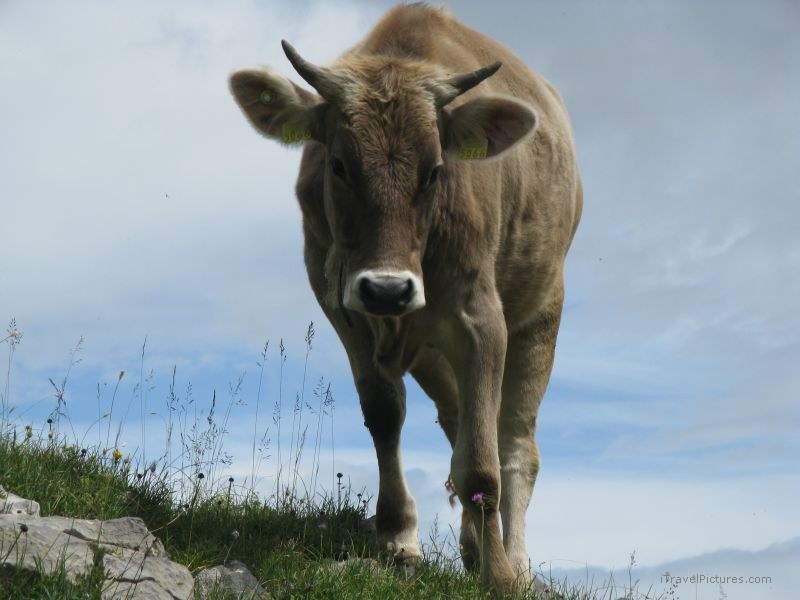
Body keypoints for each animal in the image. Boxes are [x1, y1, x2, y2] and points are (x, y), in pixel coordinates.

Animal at [229, 3, 582, 593]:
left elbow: (483, 460)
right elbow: (385, 414)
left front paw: (499, 578)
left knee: (515, 445)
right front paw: (397, 538)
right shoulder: (342, 304)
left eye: (435, 170)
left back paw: (517, 561)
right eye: (339, 164)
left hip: (540, 310)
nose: (390, 288)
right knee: (458, 420)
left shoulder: (481, 319)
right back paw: (471, 545)